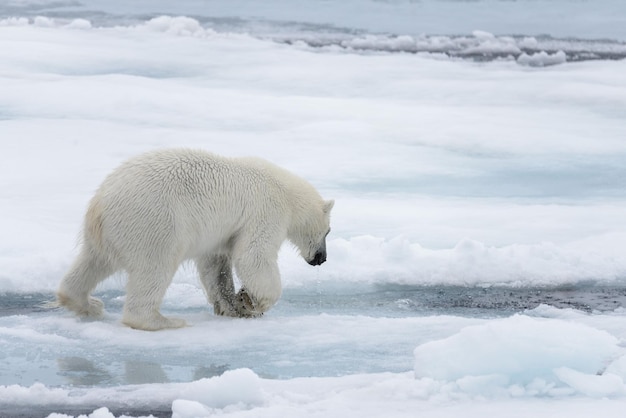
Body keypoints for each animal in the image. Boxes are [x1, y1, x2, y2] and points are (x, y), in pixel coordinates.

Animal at [56, 149, 334, 332]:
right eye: (329, 232)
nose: (322, 259)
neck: (288, 193)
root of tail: (100, 204)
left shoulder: (221, 233)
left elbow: (216, 266)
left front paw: (233, 306)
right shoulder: (266, 211)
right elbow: (253, 256)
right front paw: (252, 302)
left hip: (109, 234)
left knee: (93, 262)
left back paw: (87, 303)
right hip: (154, 222)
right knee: (154, 268)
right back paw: (163, 321)